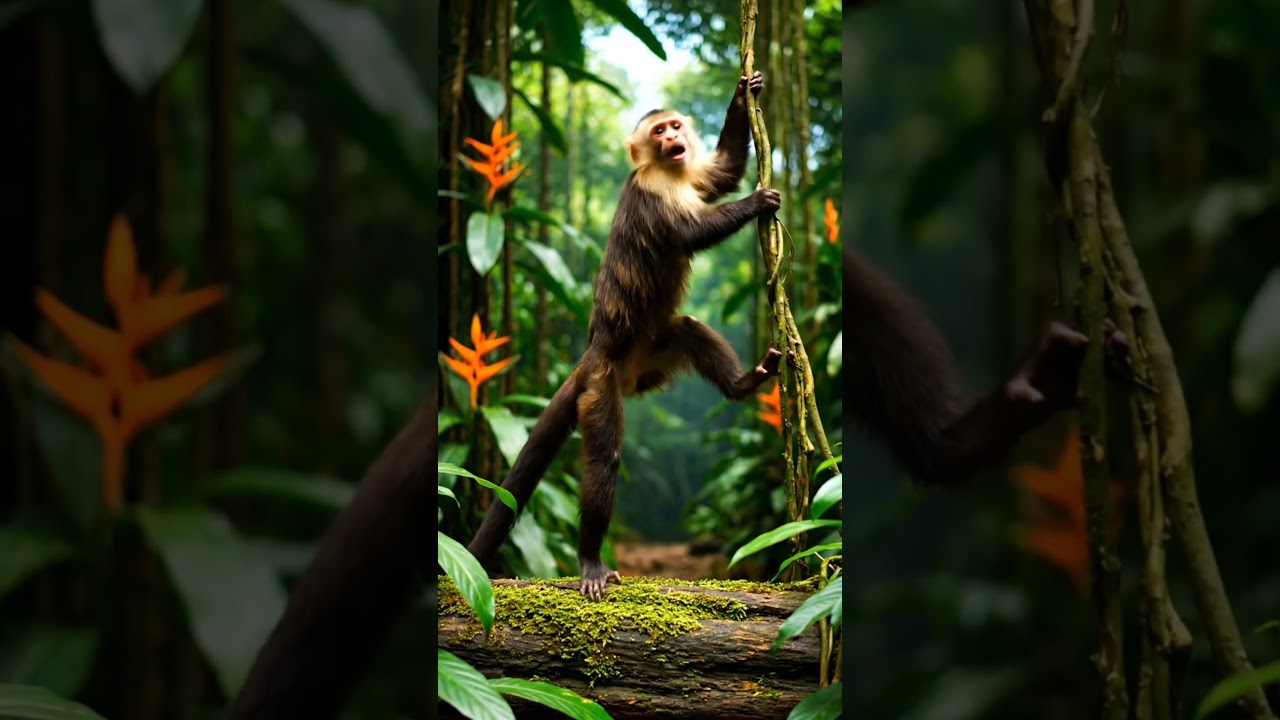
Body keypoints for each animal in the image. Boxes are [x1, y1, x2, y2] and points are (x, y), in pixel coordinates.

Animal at [468, 71, 782, 601]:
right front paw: (756, 203)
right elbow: (689, 233)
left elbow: (721, 174)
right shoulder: (652, 187)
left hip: (652, 356)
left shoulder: (689, 174)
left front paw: (743, 96)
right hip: (602, 384)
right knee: (604, 460)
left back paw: (746, 381)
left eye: (675, 126)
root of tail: (593, 354)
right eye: (659, 132)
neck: (670, 173)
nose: (674, 138)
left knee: (686, 331)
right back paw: (590, 560)